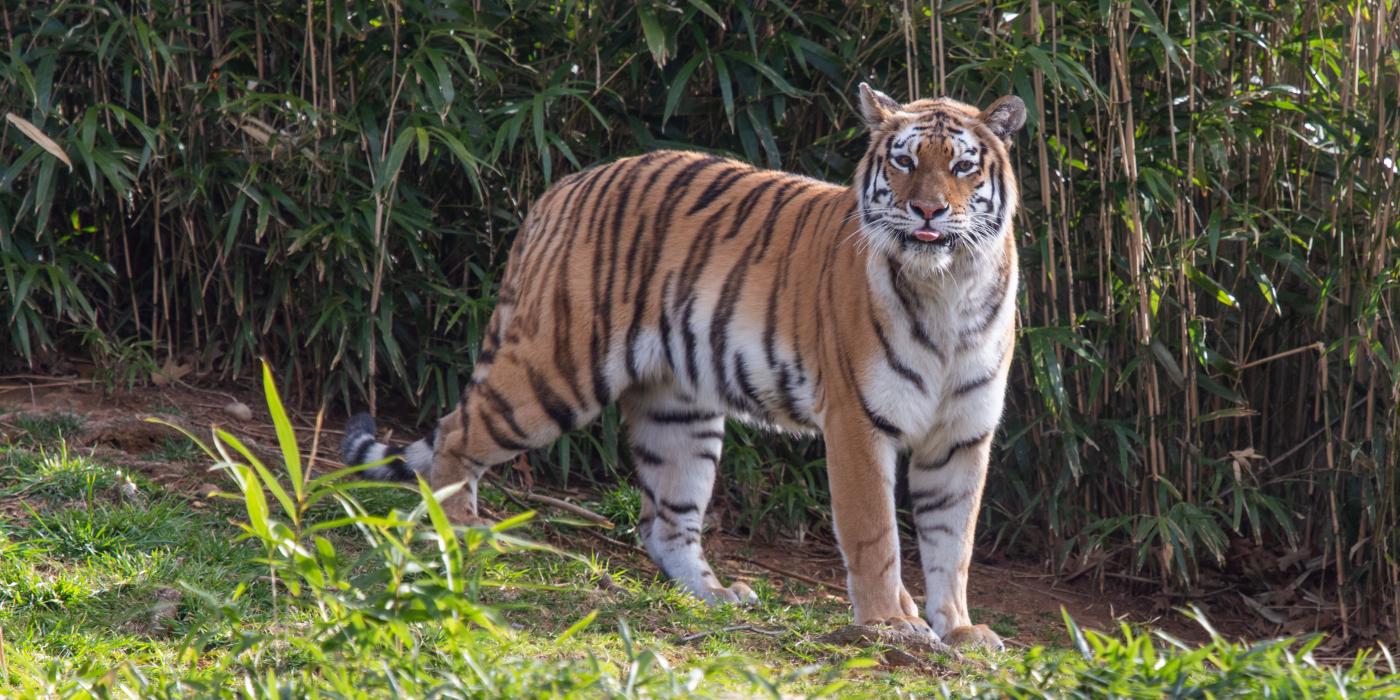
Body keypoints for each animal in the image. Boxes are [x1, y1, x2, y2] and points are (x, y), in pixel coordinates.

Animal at [344, 84, 1030, 646]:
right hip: (551, 371)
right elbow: (875, 533)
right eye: (904, 162)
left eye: (963, 166)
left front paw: (958, 630)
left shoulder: (962, 436)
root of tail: (558, 190)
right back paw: (459, 533)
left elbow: (953, 542)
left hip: (679, 410)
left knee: (663, 522)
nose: (928, 212)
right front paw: (890, 624)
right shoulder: (858, 424)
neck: (949, 290)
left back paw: (716, 596)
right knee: (456, 436)